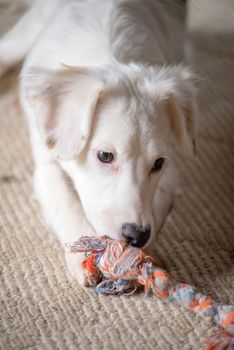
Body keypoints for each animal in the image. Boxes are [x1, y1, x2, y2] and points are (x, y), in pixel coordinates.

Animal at [0, 0, 197, 284]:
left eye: (157, 163)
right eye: (104, 156)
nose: (136, 236)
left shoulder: (171, 172)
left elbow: (158, 203)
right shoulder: (47, 162)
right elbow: (65, 202)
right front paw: (82, 256)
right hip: (25, 34)